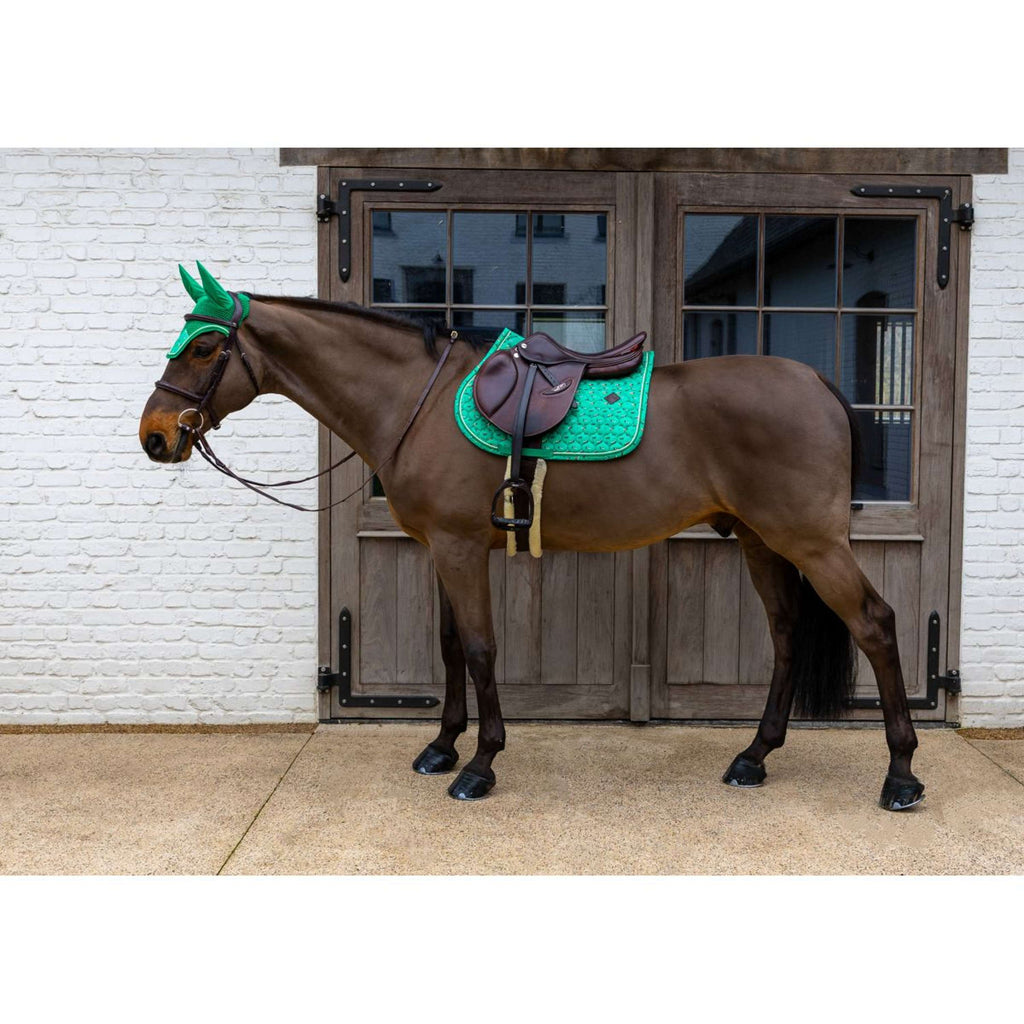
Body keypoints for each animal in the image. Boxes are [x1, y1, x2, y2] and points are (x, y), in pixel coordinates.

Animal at [139, 264, 925, 811]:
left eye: (204, 347)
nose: (154, 436)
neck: (417, 401)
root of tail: (819, 384)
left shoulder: (460, 550)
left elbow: (483, 649)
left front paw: (480, 766)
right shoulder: (440, 550)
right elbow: (451, 648)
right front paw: (441, 747)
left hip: (813, 543)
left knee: (877, 625)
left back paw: (901, 775)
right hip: (763, 541)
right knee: (788, 635)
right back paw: (754, 757)